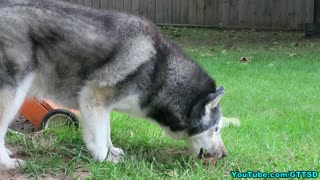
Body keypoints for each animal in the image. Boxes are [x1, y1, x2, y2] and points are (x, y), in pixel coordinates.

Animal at [0, 0, 235, 169]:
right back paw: (8, 163)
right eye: (216, 128)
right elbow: (98, 138)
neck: (159, 71)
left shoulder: (102, 106)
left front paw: (111, 152)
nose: (225, 155)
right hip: (14, 95)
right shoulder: (93, 98)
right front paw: (104, 160)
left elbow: (106, 133)